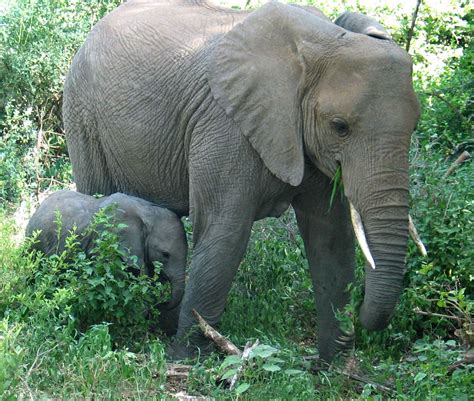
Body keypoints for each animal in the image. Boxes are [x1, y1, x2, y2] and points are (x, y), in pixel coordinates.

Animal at [62, 0, 418, 360]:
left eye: (415, 125)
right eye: (340, 126)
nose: (363, 316)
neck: (325, 40)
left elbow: (330, 237)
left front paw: (334, 366)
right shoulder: (227, 127)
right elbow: (226, 232)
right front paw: (187, 360)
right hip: (82, 113)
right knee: (99, 197)